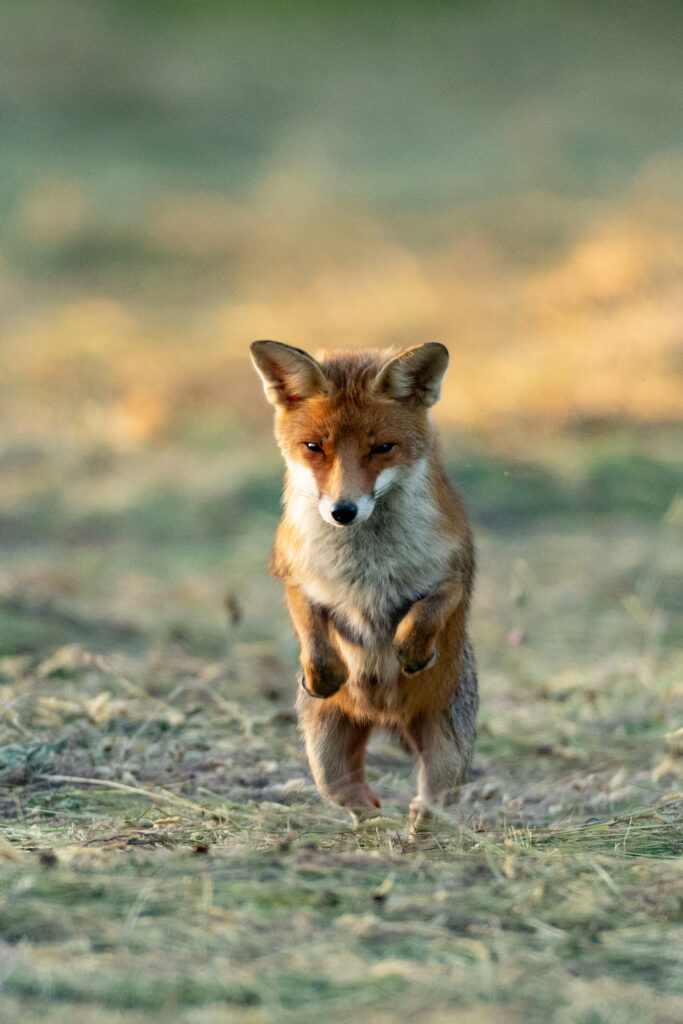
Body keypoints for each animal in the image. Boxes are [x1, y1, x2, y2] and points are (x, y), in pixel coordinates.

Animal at [250, 339, 478, 829]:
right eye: (313, 447)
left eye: (383, 448)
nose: (343, 511)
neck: (366, 562)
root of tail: (384, 717)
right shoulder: (294, 574)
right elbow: (312, 634)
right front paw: (324, 674)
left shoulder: (455, 570)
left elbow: (427, 610)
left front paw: (411, 650)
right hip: (325, 756)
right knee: (352, 798)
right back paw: (371, 823)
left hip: (446, 756)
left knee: (429, 805)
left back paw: (415, 829)